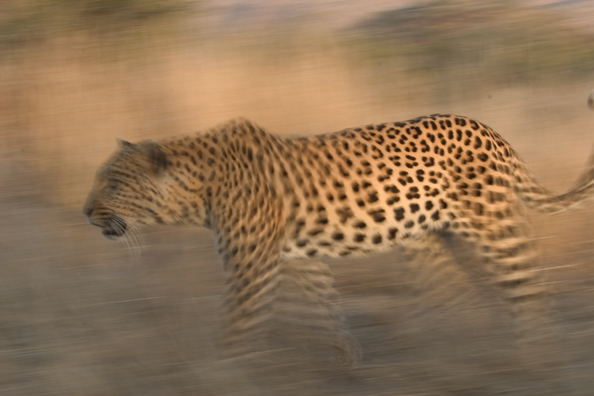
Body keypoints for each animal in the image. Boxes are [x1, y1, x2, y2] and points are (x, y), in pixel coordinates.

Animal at [82, 111, 592, 378]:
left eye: (113, 182)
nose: (85, 212)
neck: (197, 192)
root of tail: (489, 128)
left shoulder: (252, 269)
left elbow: (235, 327)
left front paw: (217, 372)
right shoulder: (294, 259)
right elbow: (325, 307)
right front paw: (346, 357)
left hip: (489, 223)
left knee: (528, 284)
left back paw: (535, 357)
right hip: (431, 238)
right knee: (456, 296)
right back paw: (447, 350)